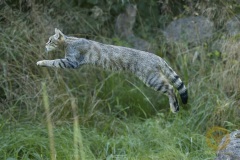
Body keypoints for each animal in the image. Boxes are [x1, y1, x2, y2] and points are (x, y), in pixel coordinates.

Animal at [37, 28, 188, 112]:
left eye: (50, 40)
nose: (45, 45)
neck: (70, 41)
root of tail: (158, 57)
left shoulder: (71, 61)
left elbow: (54, 62)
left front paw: (41, 62)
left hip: (152, 79)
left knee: (171, 88)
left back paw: (174, 107)